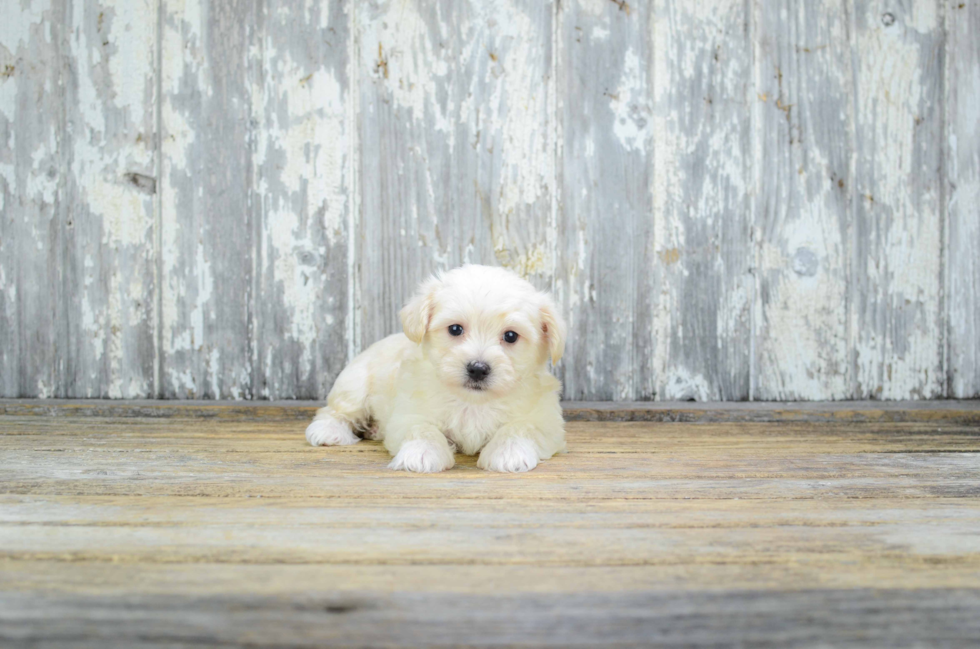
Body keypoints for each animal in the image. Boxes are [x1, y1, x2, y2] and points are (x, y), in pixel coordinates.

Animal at [306, 262, 568, 470]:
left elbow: (520, 427)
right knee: (336, 411)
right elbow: (422, 428)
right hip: (354, 384)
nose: (477, 368)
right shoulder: (409, 412)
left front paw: (508, 452)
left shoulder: (546, 420)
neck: (472, 403)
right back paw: (329, 431)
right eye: (455, 329)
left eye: (511, 336)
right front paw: (421, 453)